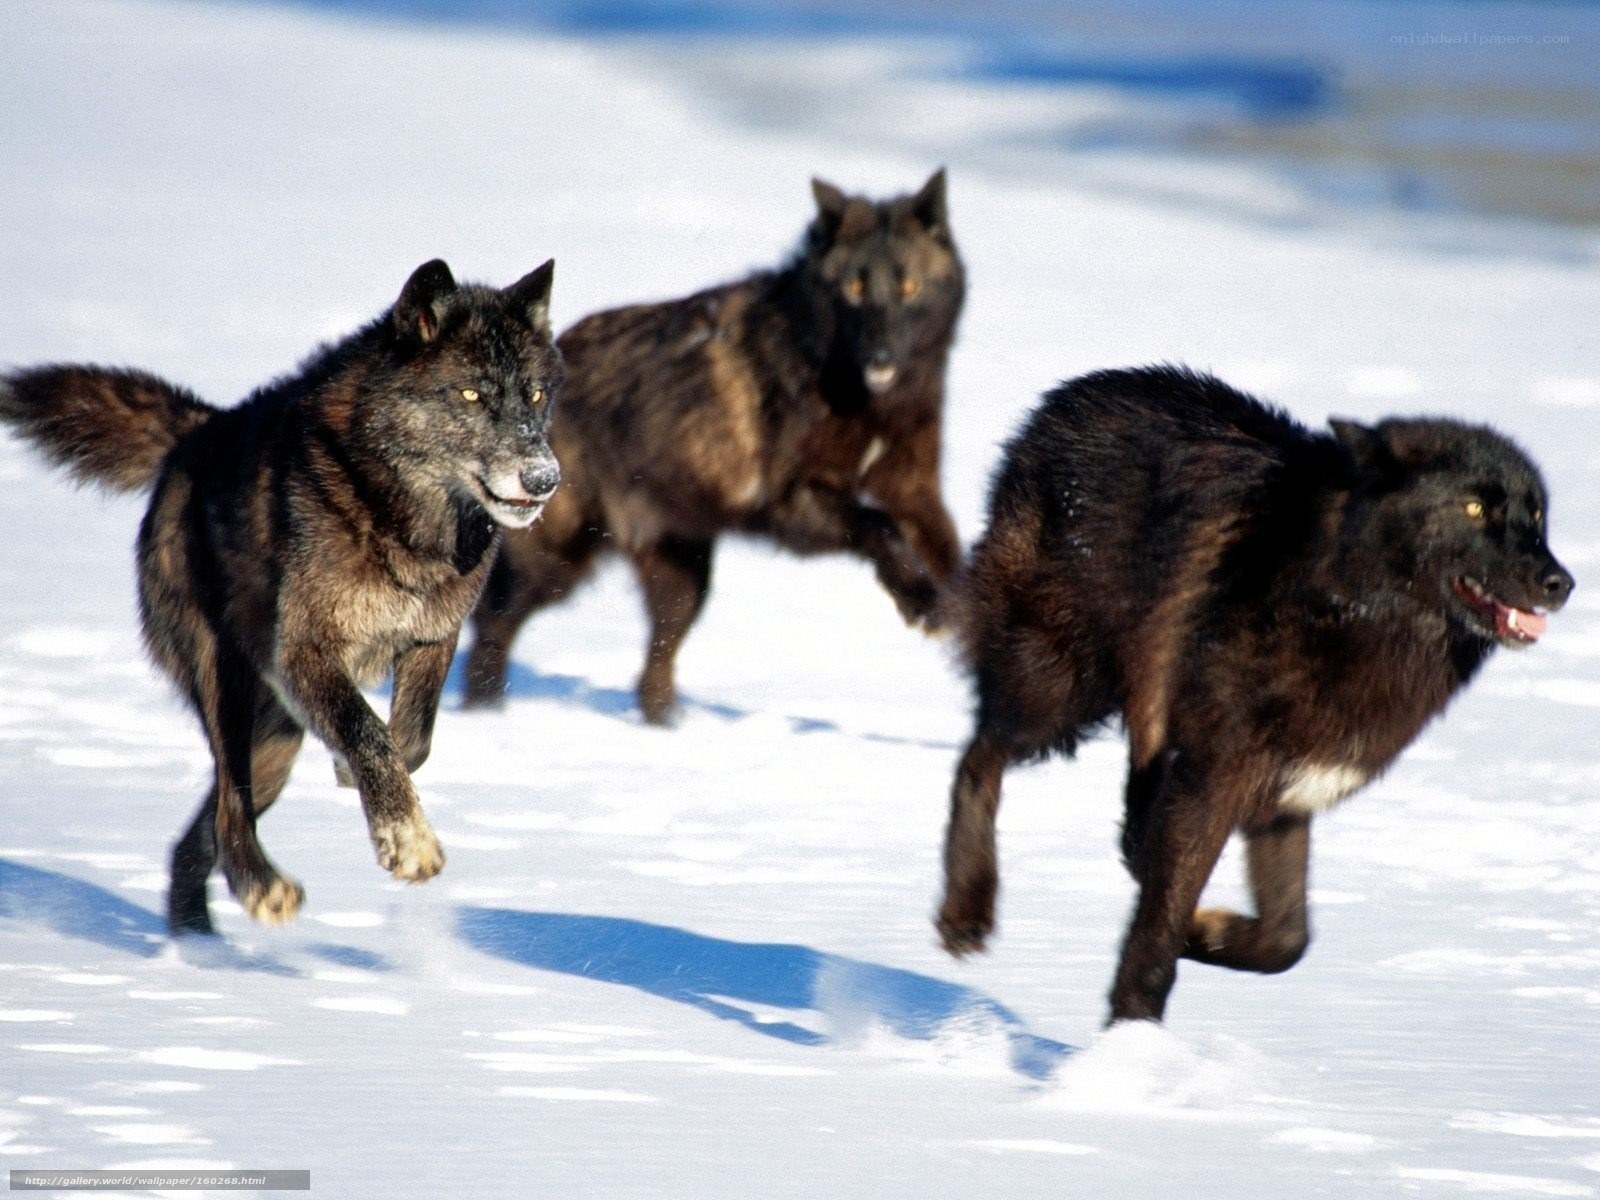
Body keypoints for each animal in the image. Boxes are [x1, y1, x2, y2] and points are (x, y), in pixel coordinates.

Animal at [0, 259, 563, 934]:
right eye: (472, 395)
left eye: (536, 394)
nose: (544, 477)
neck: (399, 516)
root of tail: (199, 430)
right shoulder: (304, 653)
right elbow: (370, 733)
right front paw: (407, 841)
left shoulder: (432, 638)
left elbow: (409, 740)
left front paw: (366, 787)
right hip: (227, 684)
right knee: (227, 806)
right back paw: (260, 889)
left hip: (277, 742)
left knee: (198, 836)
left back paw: (197, 943)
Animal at [463, 170, 965, 723]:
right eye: (855, 287)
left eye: (908, 287)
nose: (881, 357)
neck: (859, 396)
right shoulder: (792, 504)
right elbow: (879, 526)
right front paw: (922, 604)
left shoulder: (915, 489)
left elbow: (949, 551)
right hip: (556, 562)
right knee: (492, 625)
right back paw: (483, 713)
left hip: (684, 577)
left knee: (654, 666)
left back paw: (665, 728)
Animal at [935, 365, 1574, 1023]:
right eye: (1474, 508)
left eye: (1537, 516)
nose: (1562, 583)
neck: (1343, 604)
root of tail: (1059, 400)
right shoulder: (1213, 781)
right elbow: (1159, 937)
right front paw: (1132, 1034)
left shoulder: (1286, 798)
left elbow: (1285, 940)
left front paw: (1206, 931)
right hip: (1059, 692)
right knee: (978, 758)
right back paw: (966, 912)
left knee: (1124, 825)